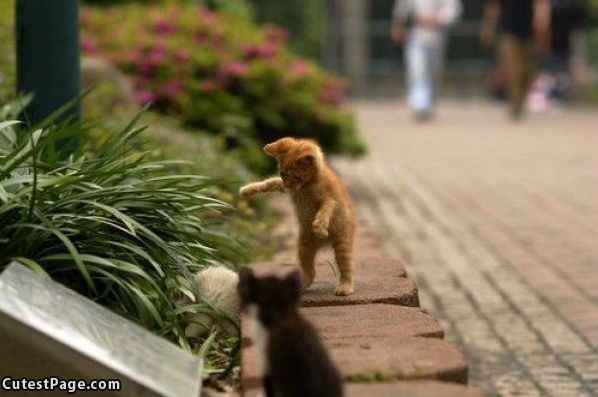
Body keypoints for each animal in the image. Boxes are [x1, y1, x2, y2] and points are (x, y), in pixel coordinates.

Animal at [241, 136, 358, 294]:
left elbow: (326, 208)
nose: (287, 185)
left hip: (342, 243)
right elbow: (269, 182)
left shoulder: (330, 199)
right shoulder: (285, 187)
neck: (307, 185)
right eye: (283, 174)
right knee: (310, 271)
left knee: (346, 267)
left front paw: (320, 226)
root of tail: (324, 243)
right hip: (304, 246)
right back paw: (301, 284)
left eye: (296, 176)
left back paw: (345, 286)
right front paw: (248, 189)